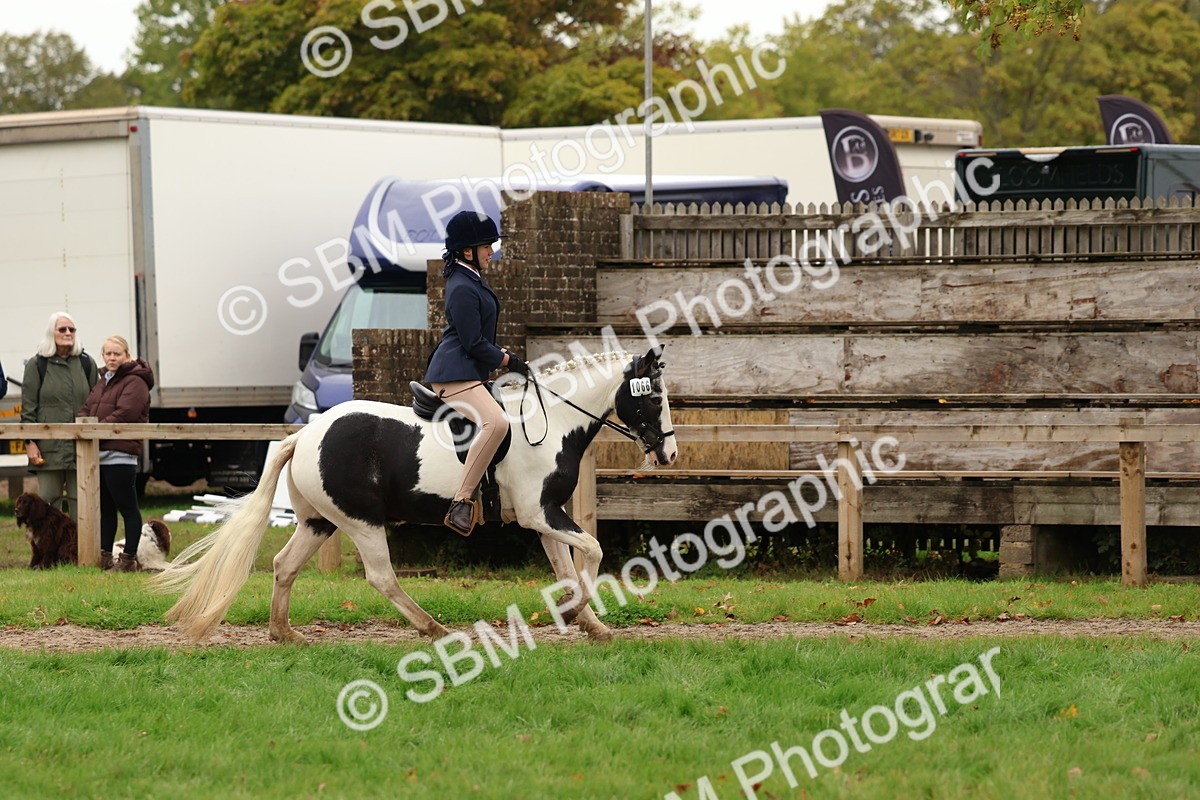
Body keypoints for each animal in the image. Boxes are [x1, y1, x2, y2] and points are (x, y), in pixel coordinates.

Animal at [152, 347, 678, 644]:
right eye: (653, 398)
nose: (669, 453)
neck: (550, 423)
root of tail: (304, 435)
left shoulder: (546, 517)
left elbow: (568, 570)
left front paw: (590, 625)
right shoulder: (538, 515)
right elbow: (593, 551)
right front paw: (580, 612)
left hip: (320, 521)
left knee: (285, 565)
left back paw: (285, 634)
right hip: (362, 522)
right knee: (382, 577)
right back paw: (433, 629)